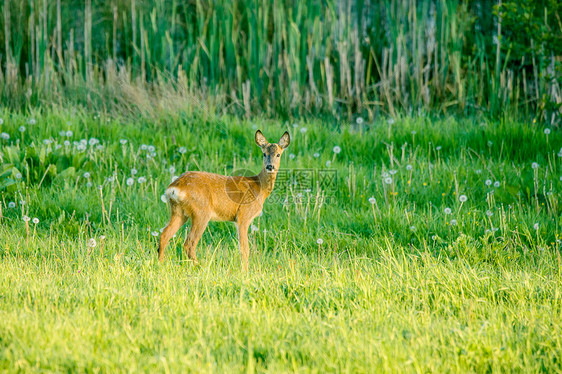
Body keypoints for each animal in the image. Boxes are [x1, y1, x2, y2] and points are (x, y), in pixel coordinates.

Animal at [156, 130, 288, 270]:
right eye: (264, 153)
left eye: (278, 154)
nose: (270, 166)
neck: (259, 188)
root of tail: (174, 188)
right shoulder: (243, 215)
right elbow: (244, 249)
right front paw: (245, 271)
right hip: (201, 212)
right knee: (189, 243)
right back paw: (200, 267)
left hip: (178, 211)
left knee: (164, 235)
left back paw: (161, 264)